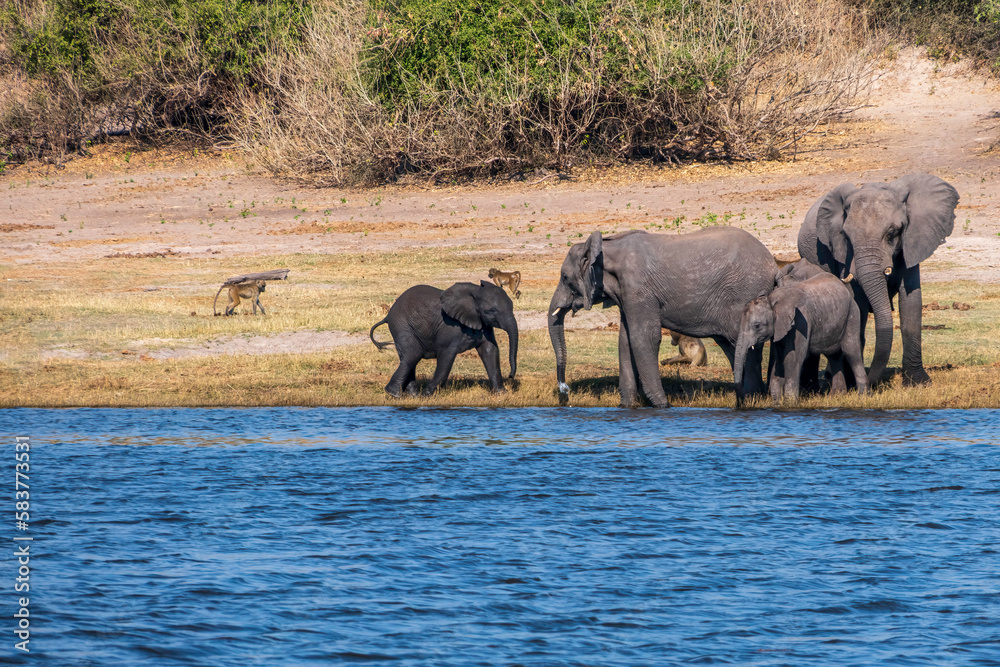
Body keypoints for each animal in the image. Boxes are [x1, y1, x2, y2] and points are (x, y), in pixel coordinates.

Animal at [370, 281, 518, 397]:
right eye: (492, 311)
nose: (511, 376)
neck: (475, 293)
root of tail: (388, 315)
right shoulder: (450, 329)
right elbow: (447, 357)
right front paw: (426, 395)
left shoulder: (484, 324)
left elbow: (490, 351)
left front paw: (502, 394)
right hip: (402, 325)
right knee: (413, 355)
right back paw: (395, 394)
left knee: (410, 357)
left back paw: (412, 396)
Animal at [548, 227, 778, 408]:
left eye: (565, 277)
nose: (564, 392)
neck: (608, 248)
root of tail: (774, 265)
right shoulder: (628, 295)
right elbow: (626, 340)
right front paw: (627, 406)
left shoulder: (639, 290)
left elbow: (644, 338)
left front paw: (662, 405)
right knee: (734, 347)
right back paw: (753, 397)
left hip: (745, 294)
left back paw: (750, 398)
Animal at [735, 264, 869, 405]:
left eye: (757, 326)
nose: (741, 401)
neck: (772, 300)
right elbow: (779, 359)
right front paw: (777, 403)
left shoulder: (800, 323)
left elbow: (793, 357)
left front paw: (790, 403)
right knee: (834, 356)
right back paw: (836, 396)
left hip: (852, 315)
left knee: (851, 352)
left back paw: (863, 397)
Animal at [798, 173, 959, 386]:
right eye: (846, 236)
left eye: (892, 233)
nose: (872, 381)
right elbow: (857, 304)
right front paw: (854, 382)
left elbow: (911, 302)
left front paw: (918, 382)